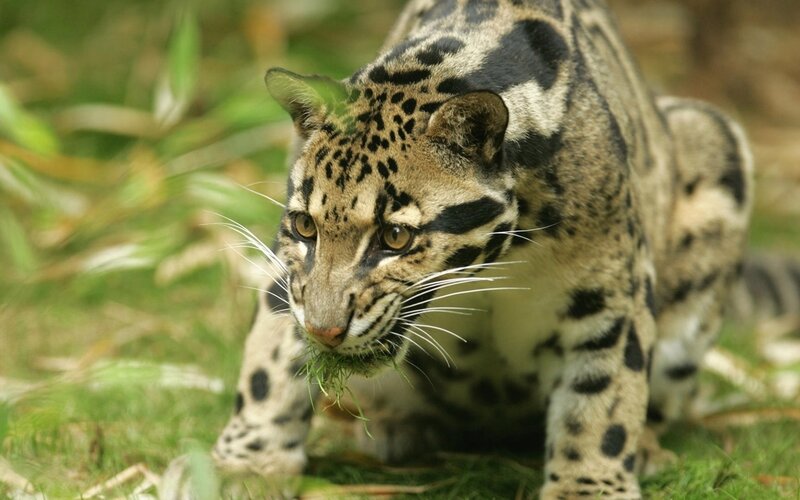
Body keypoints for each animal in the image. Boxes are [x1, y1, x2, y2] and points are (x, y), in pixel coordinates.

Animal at [206, 0, 761, 497]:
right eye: (304, 226)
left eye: (395, 237)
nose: (324, 331)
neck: (499, 258)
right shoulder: (292, 276)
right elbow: (269, 364)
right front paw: (247, 467)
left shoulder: (610, 294)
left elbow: (601, 401)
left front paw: (588, 487)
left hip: (712, 141)